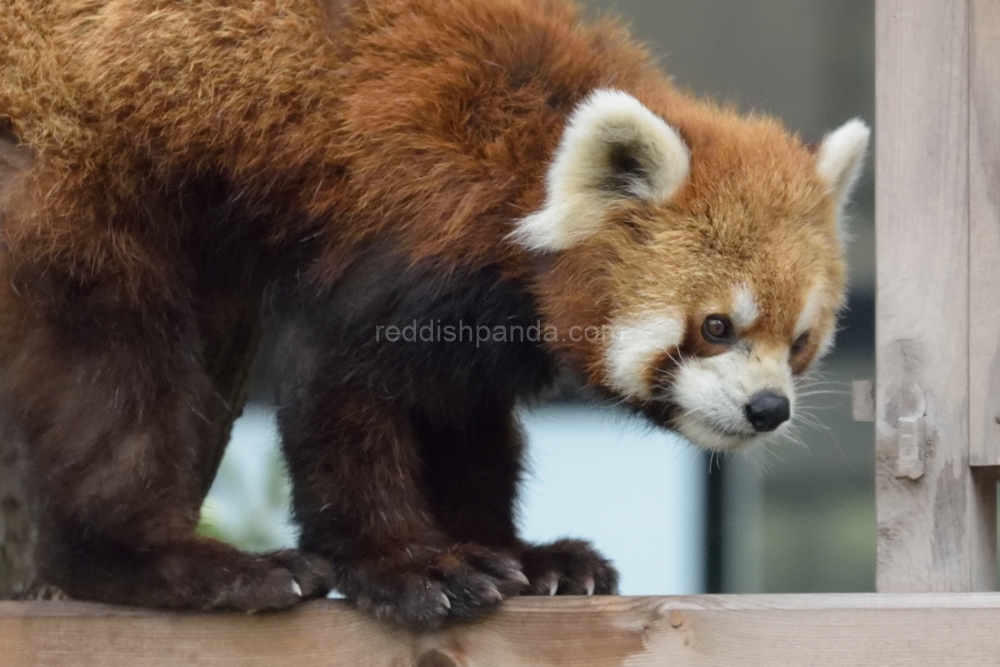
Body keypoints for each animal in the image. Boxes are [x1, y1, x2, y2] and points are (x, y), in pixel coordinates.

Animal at [0, 0, 868, 628]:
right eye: (717, 326)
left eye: (799, 342)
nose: (768, 407)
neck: (526, 174)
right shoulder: (400, 227)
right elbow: (339, 388)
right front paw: (411, 565)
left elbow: (465, 424)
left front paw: (521, 554)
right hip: (76, 172)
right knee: (115, 371)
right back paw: (173, 560)